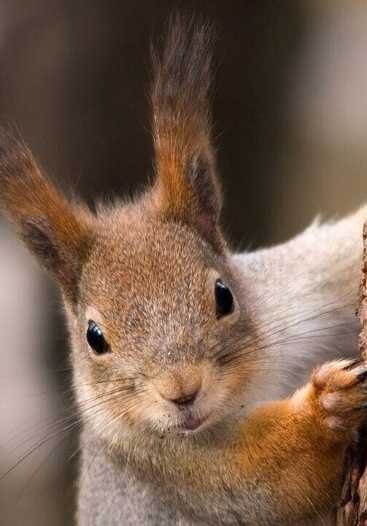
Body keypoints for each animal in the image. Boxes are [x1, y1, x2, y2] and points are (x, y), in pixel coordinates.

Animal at [0, 14, 367, 526]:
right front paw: (326, 408)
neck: (244, 387)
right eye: (94, 337)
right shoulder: (168, 465)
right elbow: (267, 477)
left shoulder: (296, 287)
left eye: (224, 295)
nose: (182, 392)